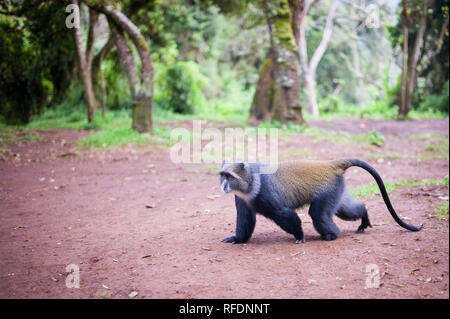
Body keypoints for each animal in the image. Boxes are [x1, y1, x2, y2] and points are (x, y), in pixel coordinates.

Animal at [218, 159, 422, 245]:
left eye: (230, 176)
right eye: (223, 176)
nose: (223, 185)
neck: (252, 180)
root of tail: (330, 165)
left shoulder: (268, 196)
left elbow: (286, 214)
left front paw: (299, 235)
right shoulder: (242, 200)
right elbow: (245, 220)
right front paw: (237, 239)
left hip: (328, 191)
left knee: (318, 215)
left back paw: (332, 235)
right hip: (337, 190)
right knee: (346, 210)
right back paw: (363, 214)